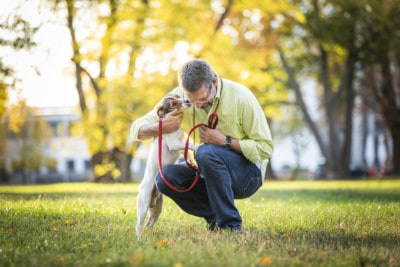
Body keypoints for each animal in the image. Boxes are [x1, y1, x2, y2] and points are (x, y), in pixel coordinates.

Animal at [136, 95, 197, 238]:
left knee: (149, 224)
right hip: (143, 206)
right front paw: (198, 147)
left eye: (179, 96)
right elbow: (189, 145)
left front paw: (192, 161)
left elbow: (187, 149)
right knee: (139, 225)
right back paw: (138, 238)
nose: (187, 100)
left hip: (156, 209)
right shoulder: (174, 144)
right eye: (173, 103)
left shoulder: (180, 143)